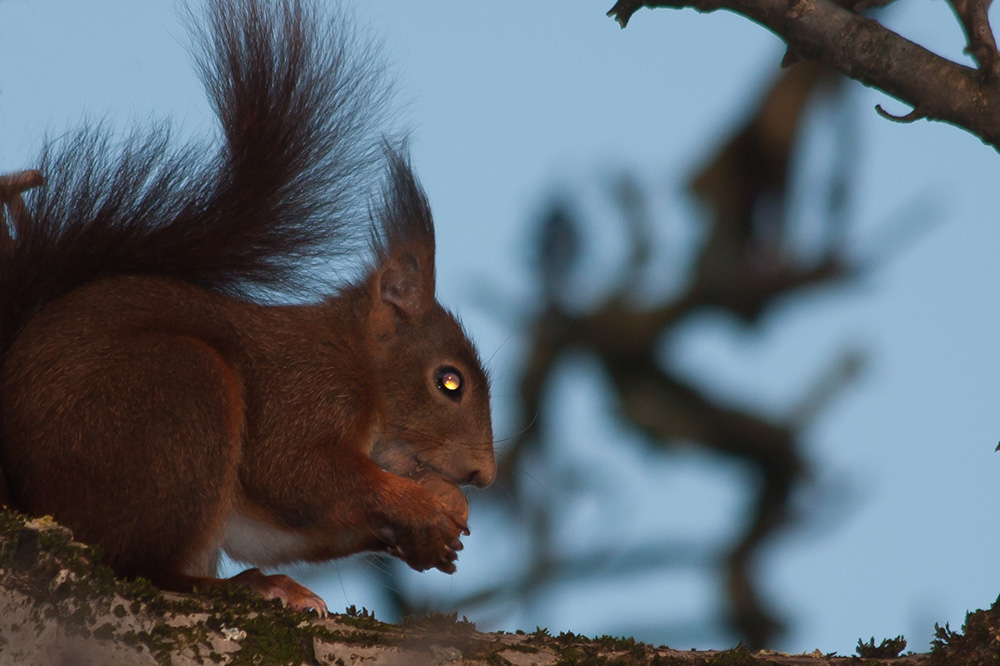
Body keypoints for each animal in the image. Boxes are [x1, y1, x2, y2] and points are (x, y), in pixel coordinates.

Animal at [0, 0, 496, 612]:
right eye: (449, 382)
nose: (483, 474)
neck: (355, 359)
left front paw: (423, 537)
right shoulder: (303, 391)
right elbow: (294, 470)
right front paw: (417, 506)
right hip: (176, 394)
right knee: (138, 565)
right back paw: (246, 585)